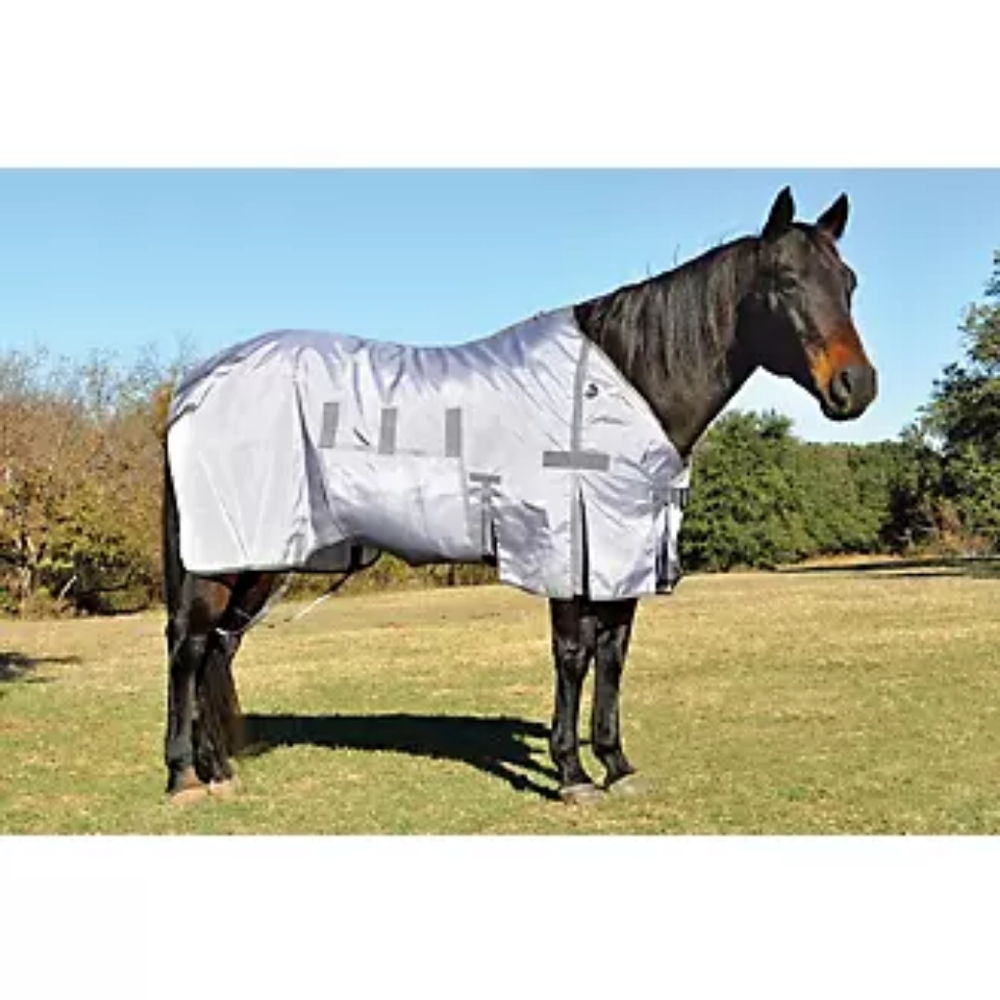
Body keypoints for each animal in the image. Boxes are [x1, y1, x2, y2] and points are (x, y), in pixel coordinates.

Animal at [161, 186, 877, 806]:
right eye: (785, 282)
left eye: (849, 283)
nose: (856, 387)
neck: (620, 384)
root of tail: (197, 385)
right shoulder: (568, 551)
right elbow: (573, 657)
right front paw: (572, 775)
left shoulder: (622, 554)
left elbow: (613, 657)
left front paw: (617, 765)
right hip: (223, 555)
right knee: (188, 646)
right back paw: (184, 778)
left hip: (259, 558)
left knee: (219, 648)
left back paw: (220, 772)